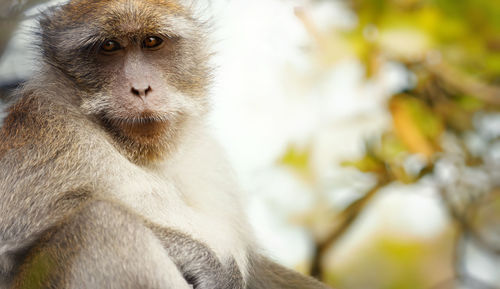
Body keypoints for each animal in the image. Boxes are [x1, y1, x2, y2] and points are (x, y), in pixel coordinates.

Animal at [0, 0, 332, 286]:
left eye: (152, 42)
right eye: (109, 47)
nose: (140, 88)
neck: (139, 153)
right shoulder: (50, 136)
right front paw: (210, 265)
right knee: (103, 222)